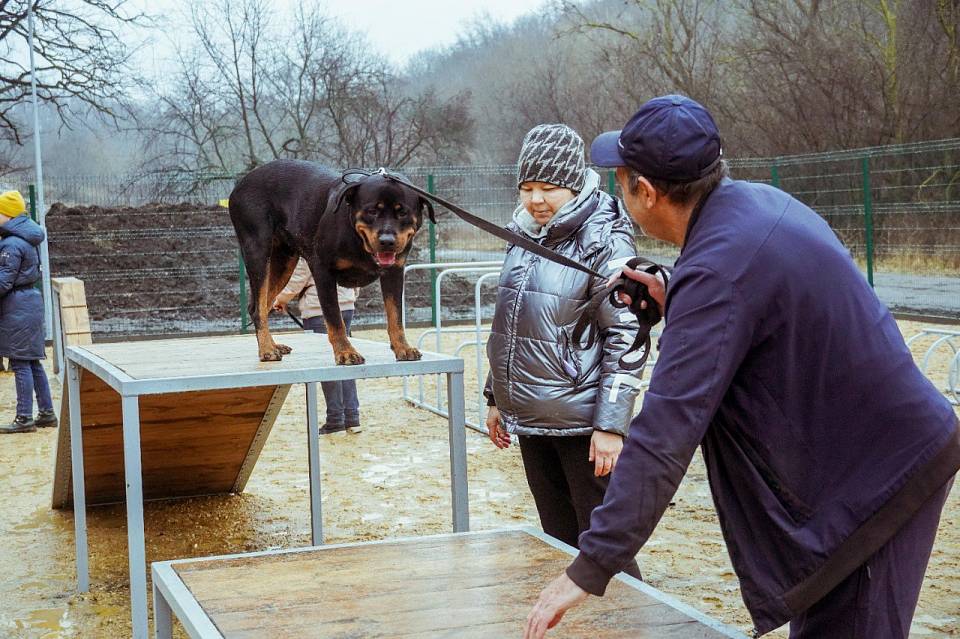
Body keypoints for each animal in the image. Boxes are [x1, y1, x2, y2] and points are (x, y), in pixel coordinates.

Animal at [229, 160, 432, 364]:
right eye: (372, 211)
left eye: (403, 212)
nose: (387, 241)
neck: (356, 237)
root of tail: (240, 184)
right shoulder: (323, 271)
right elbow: (334, 317)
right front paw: (346, 352)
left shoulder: (395, 273)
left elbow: (395, 315)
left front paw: (403, 348)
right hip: (258, 251)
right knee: (259, 307)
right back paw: (267, 349)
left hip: (284, 261)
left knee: (260, 305)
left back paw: (273, 345)